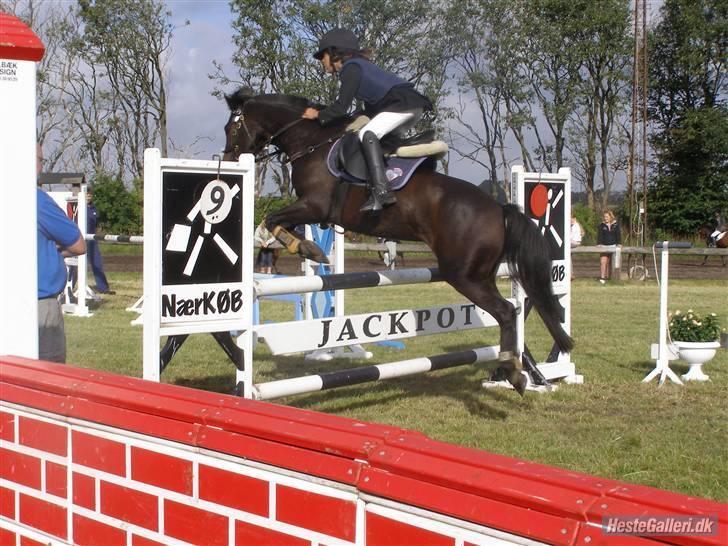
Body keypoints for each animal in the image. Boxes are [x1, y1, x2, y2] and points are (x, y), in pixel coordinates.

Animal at [222, 90, 573, 394]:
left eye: (231, 127)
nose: (229, 160)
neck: (312, 142)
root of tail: (499, 209)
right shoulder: (311, 211)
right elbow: (281, 224)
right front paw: (307, 247)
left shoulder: (315, 205)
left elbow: (271, 220)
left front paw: (306, 248)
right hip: (482, 274)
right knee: (511, 313)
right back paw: (514, 368)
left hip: (464, 276)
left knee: (505, 312)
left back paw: (513, 372)